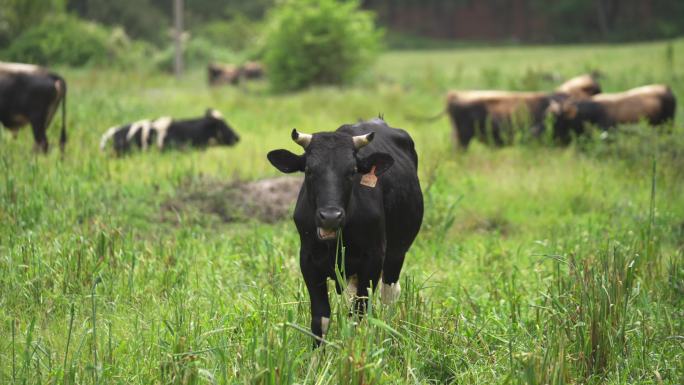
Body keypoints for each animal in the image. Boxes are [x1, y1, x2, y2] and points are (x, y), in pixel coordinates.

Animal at [268, 117, 422, 344]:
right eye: (309, 170)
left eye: (352, 171)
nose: (331, 216)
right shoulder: (308, 261)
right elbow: (320, 319)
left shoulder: (373, 259)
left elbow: (357, 313)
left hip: (396, 254)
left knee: (388, 295)